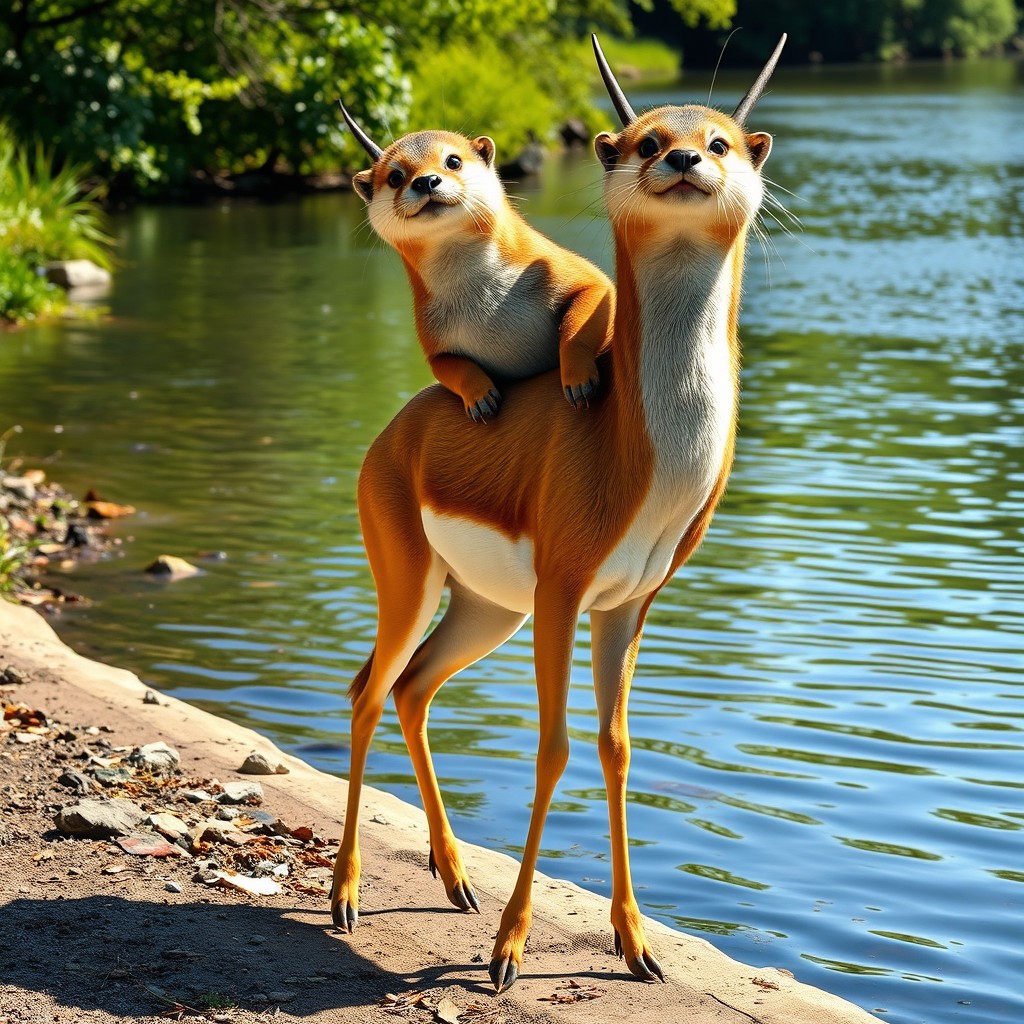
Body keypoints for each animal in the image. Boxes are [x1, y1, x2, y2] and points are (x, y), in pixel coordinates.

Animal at [331, 33, 786, 992]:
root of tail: (398, 428)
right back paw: (346, 896)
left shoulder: (627, 605)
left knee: (414, 688)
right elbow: (553, 748)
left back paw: (455, 878)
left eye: (721, 141)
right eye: (644, 141)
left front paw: (637, 942)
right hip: (415, 583)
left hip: (486, 608)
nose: (683, 161)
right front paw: (509, 948)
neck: (632, 448)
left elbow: (616, 748)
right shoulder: (563, 595)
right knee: (369, 688)